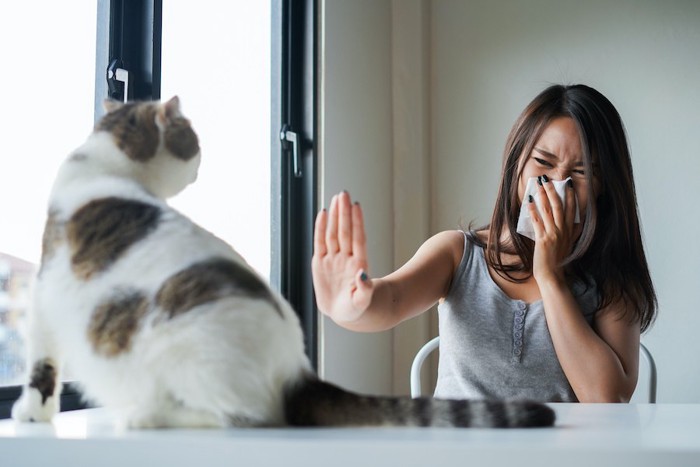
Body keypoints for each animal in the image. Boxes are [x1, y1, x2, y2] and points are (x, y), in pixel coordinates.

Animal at [10, 97, 556, 430]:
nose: (200, 164)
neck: (106, 166)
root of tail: (296, 372)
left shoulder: (44, 301)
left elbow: (41, 367)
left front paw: (30, 412)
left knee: (236, 416)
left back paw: (146, 416)